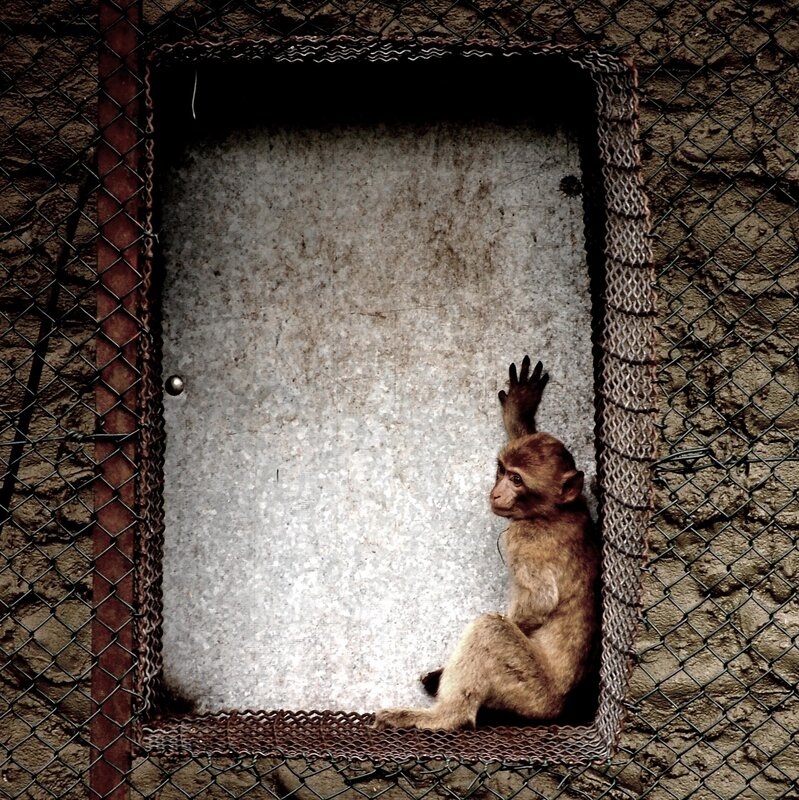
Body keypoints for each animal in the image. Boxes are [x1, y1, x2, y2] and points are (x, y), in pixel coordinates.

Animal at [373, 356, 599, 731]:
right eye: (503, 470)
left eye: (517, 480)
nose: (497, 492)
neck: (551, 512)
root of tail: (557, 707)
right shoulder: (580, 502)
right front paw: (520, 407)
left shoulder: (523, 539)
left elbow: (538, 603)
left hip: (529, 690)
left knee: (491, 629)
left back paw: (444, 716)